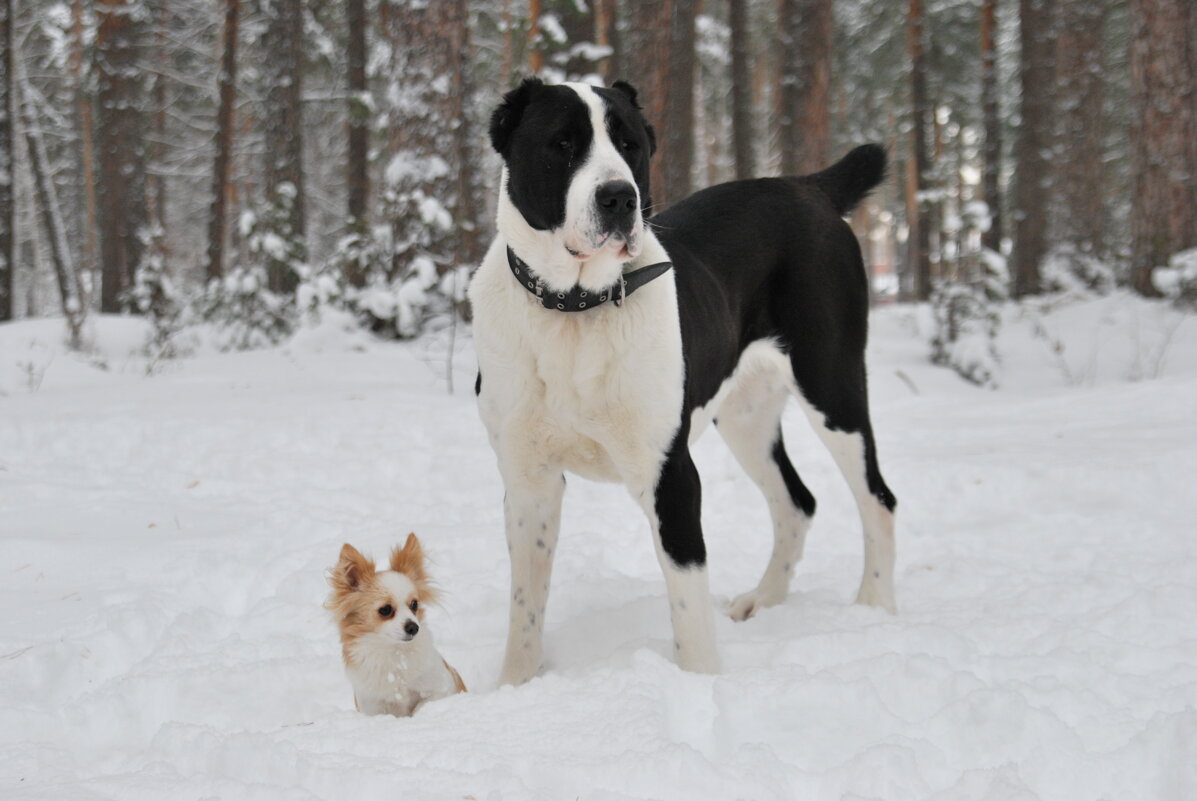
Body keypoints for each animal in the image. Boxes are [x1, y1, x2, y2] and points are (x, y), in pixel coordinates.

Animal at [469, 79, 900, 680]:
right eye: (562, 143)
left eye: (629, 144)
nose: (619, 197)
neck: (576, 310)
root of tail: (806, 186)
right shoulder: (528, 480)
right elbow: (525, 608)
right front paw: (515, 686)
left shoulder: (669, 475)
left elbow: (689, 610)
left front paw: (699, 684)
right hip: (745, 416)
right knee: (797, 501)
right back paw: (763, 601)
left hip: (832, 385)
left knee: (878, 498)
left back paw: (874, 608)